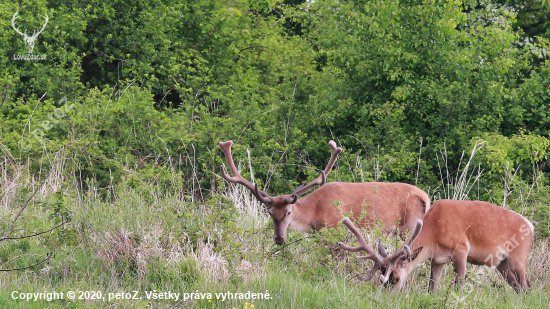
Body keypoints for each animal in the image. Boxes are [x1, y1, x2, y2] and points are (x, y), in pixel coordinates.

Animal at [219, 140, 432, 243]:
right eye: (270, 213)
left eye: (288, 212)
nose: (279, 239)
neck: (315, 213)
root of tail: (426, 197)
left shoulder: (335, 226)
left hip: (409, 226)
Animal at [340, 200, 536, 292]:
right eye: (382, 279)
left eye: (395, 278)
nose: (387, 295)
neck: (433, 234)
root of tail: (531, 226)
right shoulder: (437, 259)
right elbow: (431, 287)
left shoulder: (461, 249)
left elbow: (459, 284)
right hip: (502, 264)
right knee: (518, 287)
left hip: (519, 257)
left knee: (527, 286)